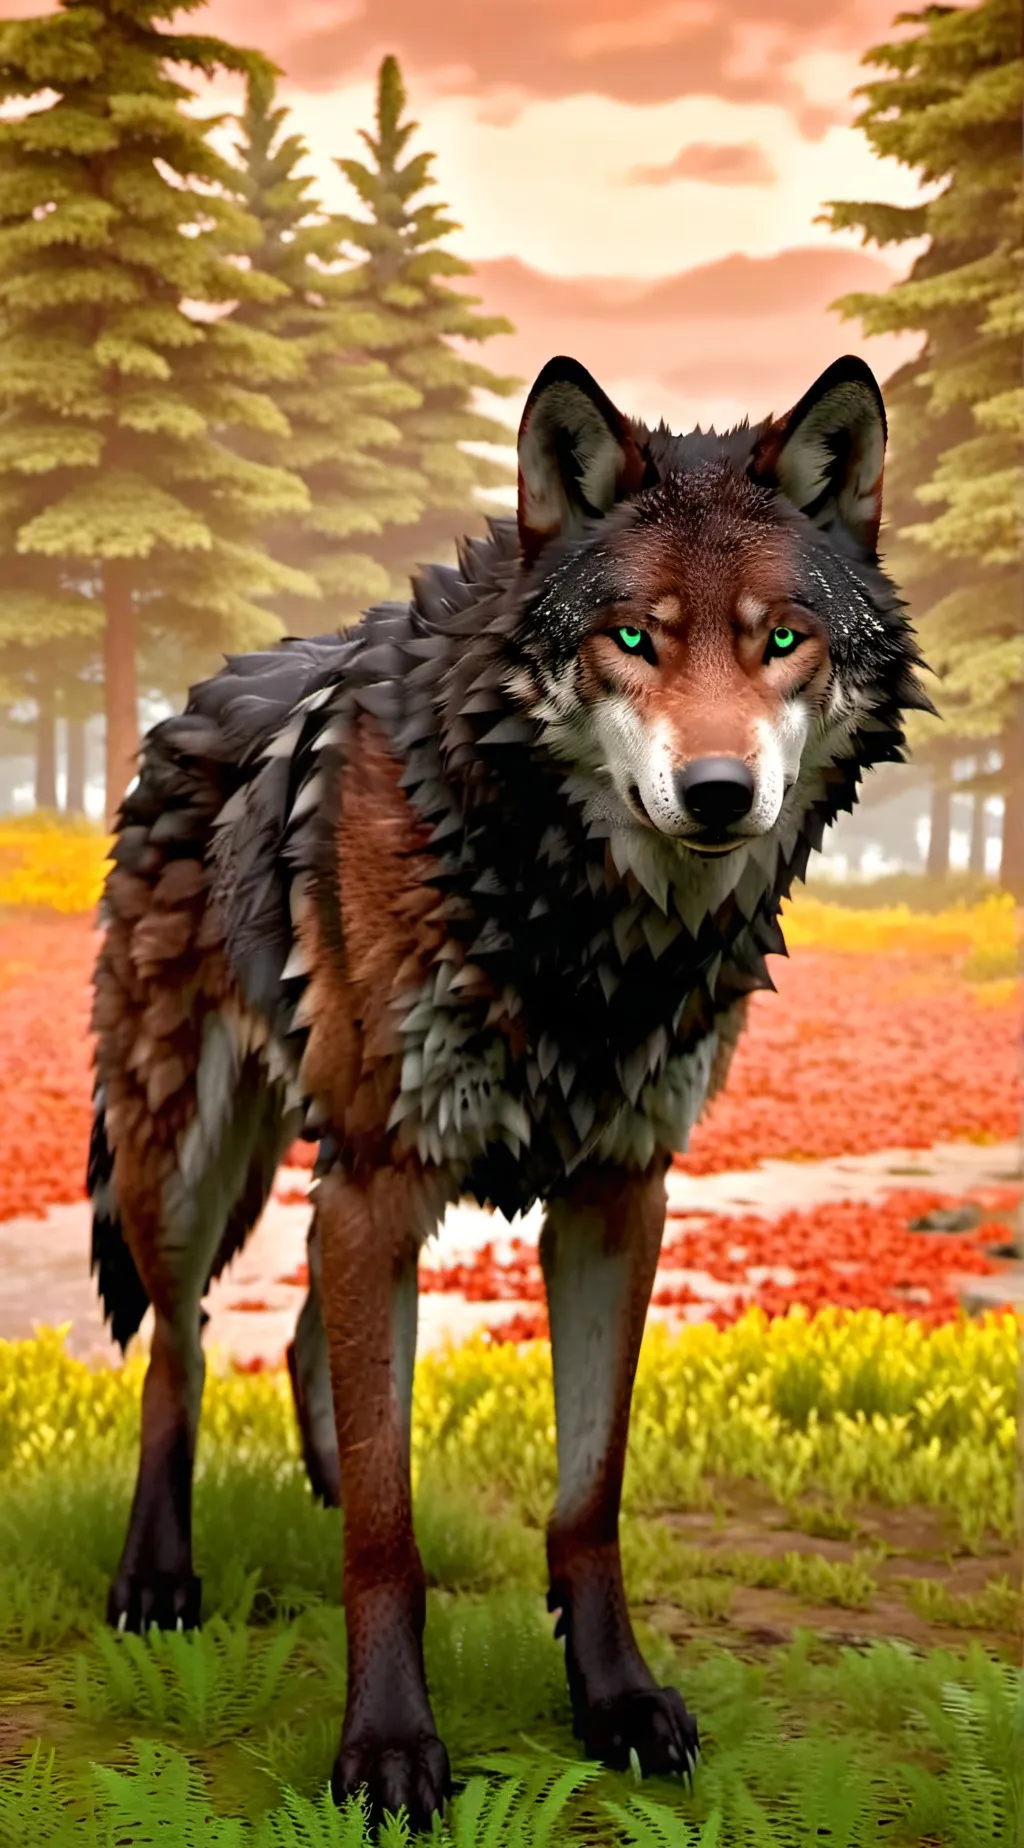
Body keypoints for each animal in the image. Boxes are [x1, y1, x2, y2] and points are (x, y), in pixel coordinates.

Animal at [88, 352, 931, 1830]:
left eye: (781, 641)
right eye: (633, 639)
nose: (719, 792)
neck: (582, 928)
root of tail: (196, 698)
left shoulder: (618, 1197)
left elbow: (586, 1500)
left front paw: (616, 1703)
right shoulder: (380, 1178)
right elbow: (387, 1539)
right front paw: (385, 1751)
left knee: (301, 1342)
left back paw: (312, 1483)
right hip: (191, 1169)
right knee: (180, 1356)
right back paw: (158, 1578)